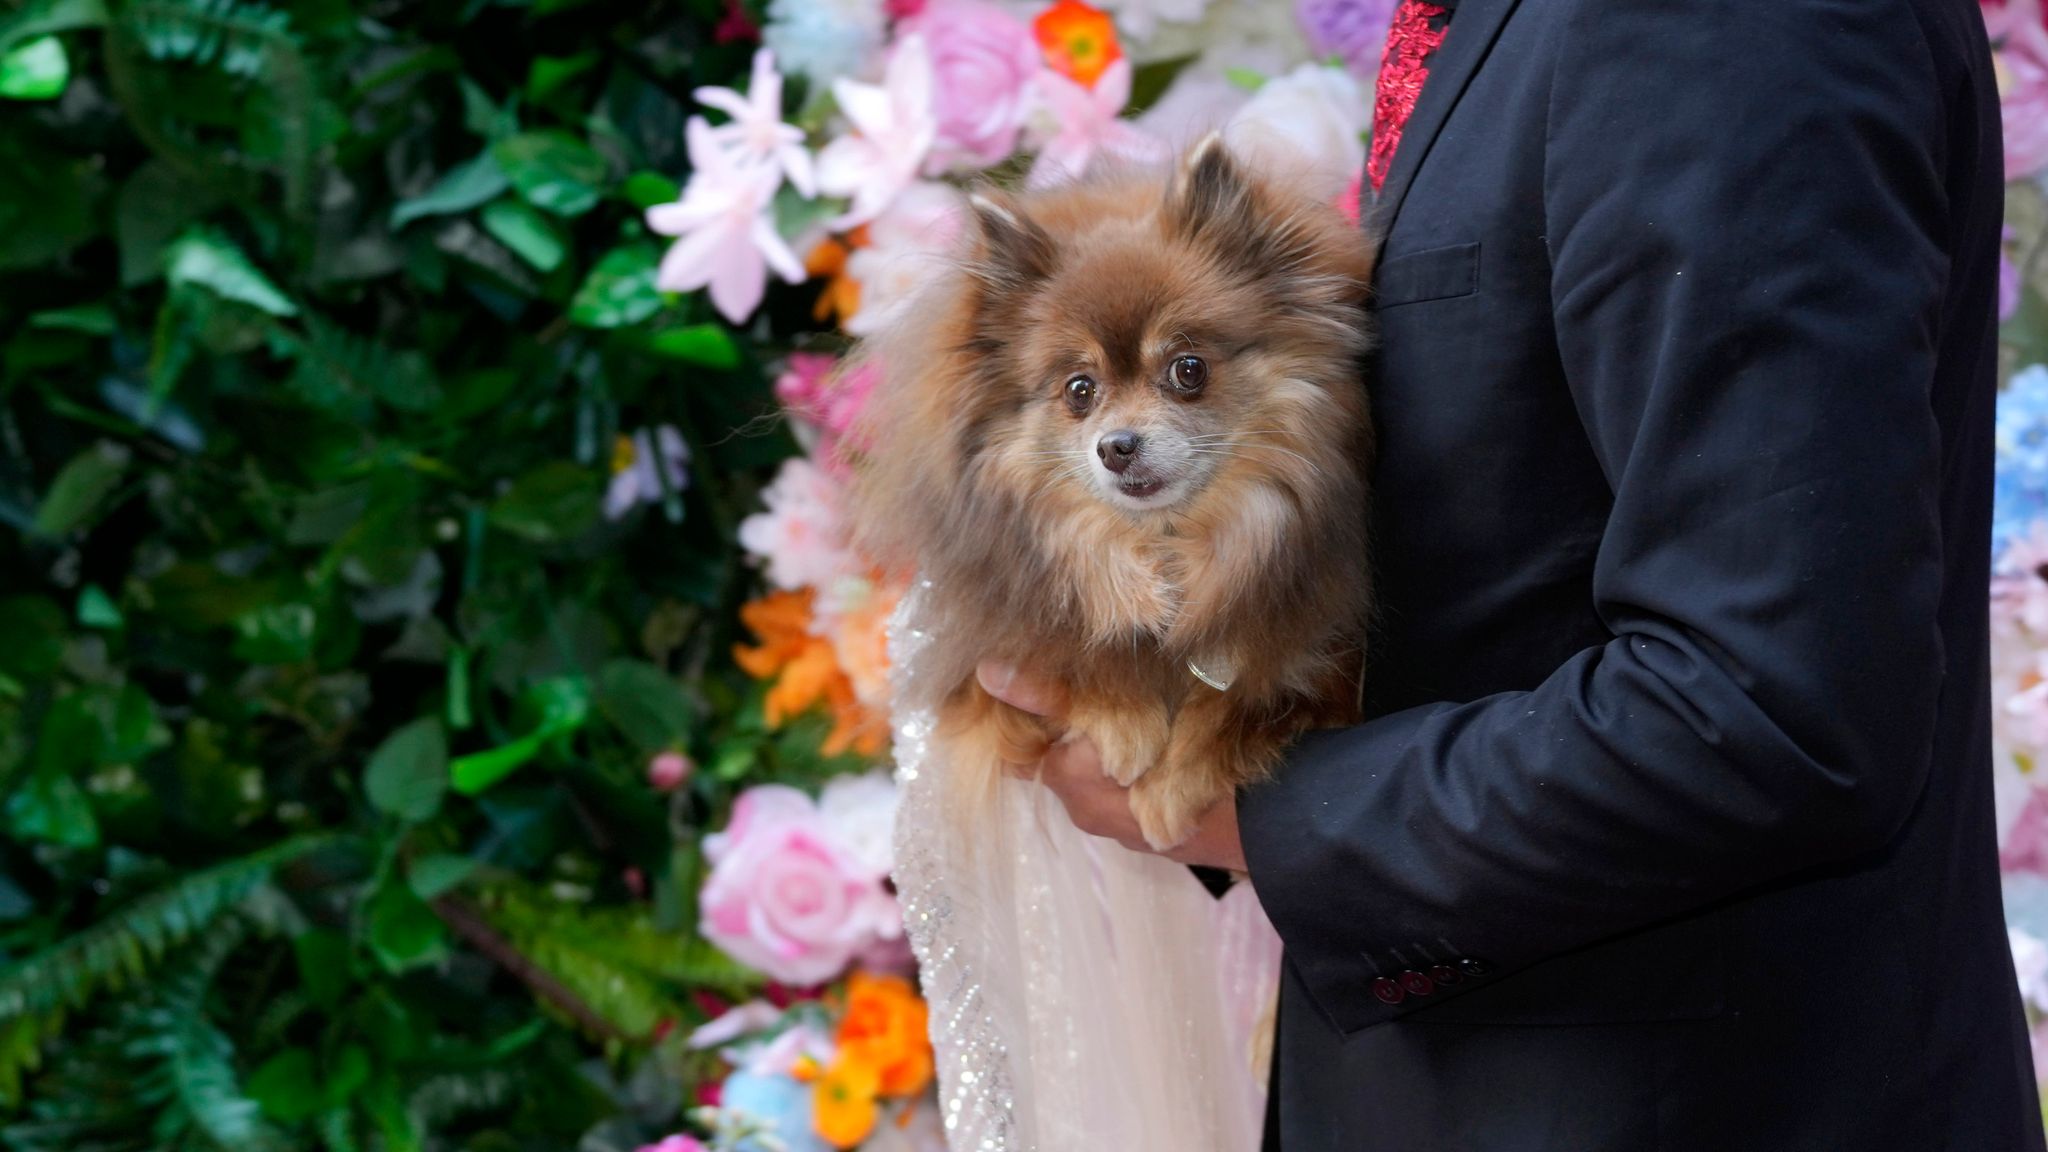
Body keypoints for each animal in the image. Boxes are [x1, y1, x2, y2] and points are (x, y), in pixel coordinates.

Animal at [847, 139, 1376, 848]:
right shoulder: (984, 667)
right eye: (1080, 390)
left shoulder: (1330, 666)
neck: (1165, 545)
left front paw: (1174, 785)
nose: (1117, 446)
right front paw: (1126, 720)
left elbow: (1244, 697)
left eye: (1188, 369)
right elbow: (1078, 652)